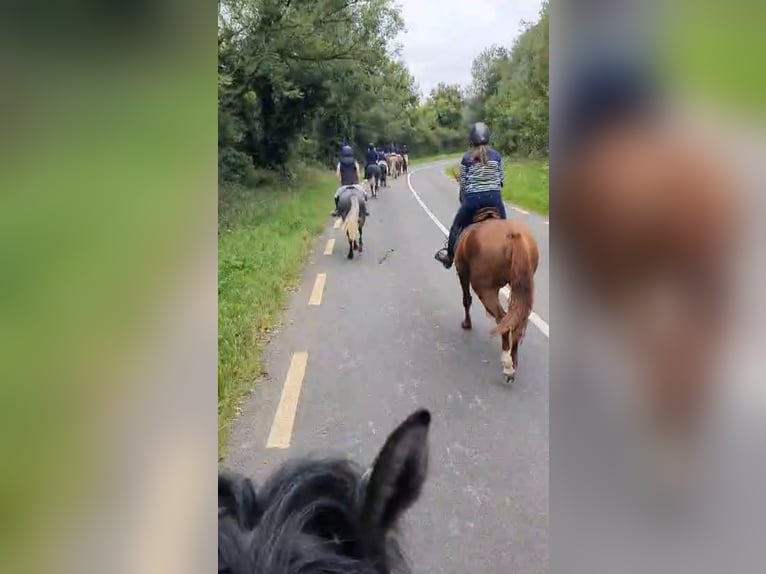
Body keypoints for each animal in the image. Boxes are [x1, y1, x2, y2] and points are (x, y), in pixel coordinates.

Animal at [456, 209, 540, 384]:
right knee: (515, 320)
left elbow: (466, 300)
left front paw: (467, 324)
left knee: (502, 317)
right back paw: (513, 360)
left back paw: (507, 366)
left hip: (485, 289)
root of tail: (513, 235)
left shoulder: (462, 273)